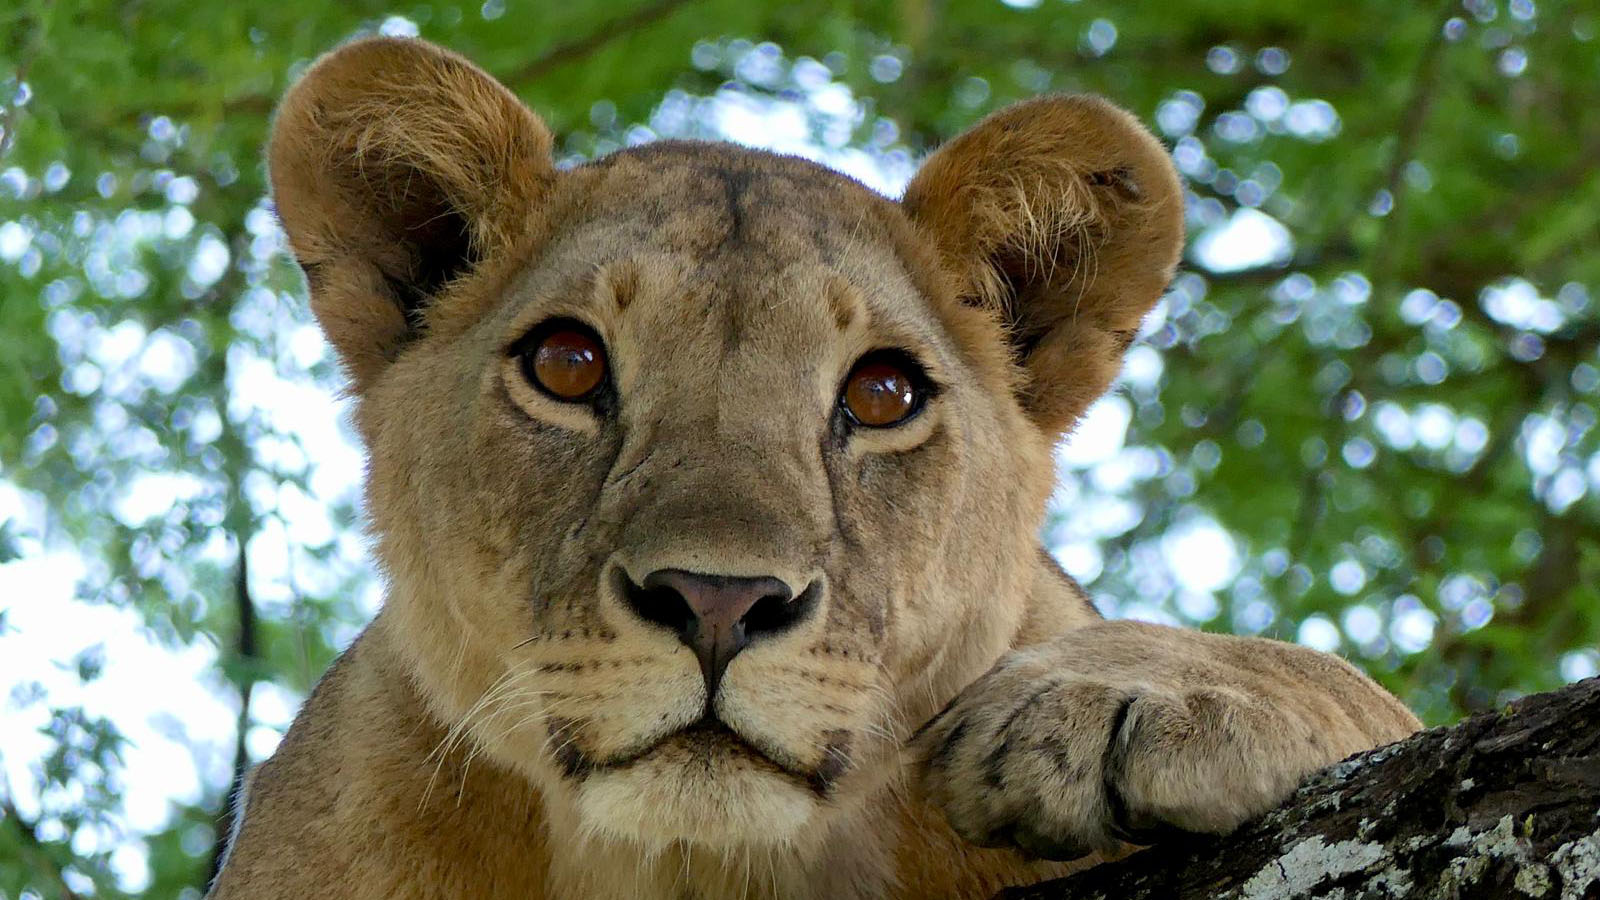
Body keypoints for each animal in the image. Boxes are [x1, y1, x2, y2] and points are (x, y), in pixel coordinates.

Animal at [208, 37, 1421, 900]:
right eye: (566, 364)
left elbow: (1344, 682)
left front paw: (1120, 698)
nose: (717, 602)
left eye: (882, 395)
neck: (698, 872)